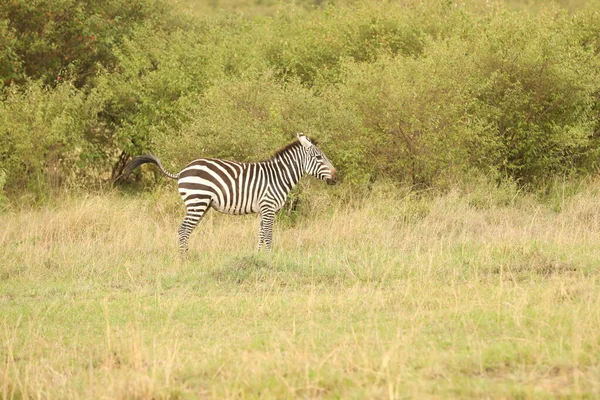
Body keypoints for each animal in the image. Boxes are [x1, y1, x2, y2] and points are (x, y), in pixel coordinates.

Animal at [120, 133, 338, 255]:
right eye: (319, 157)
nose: (336, 177)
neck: (278, 176)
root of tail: (182, 171)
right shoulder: (268, 207)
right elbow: (268, 234)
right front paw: (269, 256)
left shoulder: (263, 210)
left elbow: (261, 234)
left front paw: (258, 256)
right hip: (197, 202)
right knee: (183, 230)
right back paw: (184, 258)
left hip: (200, 205)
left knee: (185, 230)